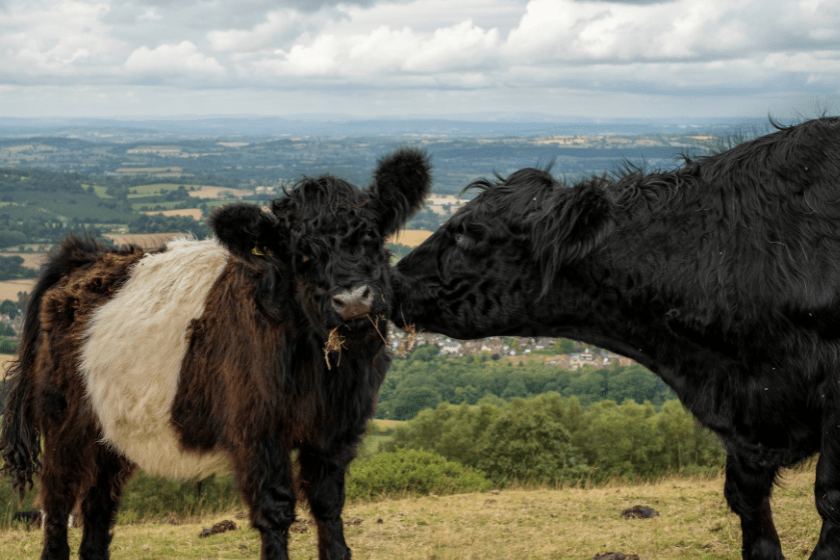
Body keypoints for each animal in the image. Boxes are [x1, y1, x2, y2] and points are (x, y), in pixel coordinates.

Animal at [0, 149, 430, 560]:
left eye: (372, 236)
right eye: (299, 253)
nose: (353, 300)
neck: (321, 372)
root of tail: (86, 257)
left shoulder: (337, 431)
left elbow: (328, 506)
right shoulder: (256, 433)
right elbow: (275, 510)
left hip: (112, 431)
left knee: (98, 506)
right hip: (64, 424)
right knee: (57, 502)